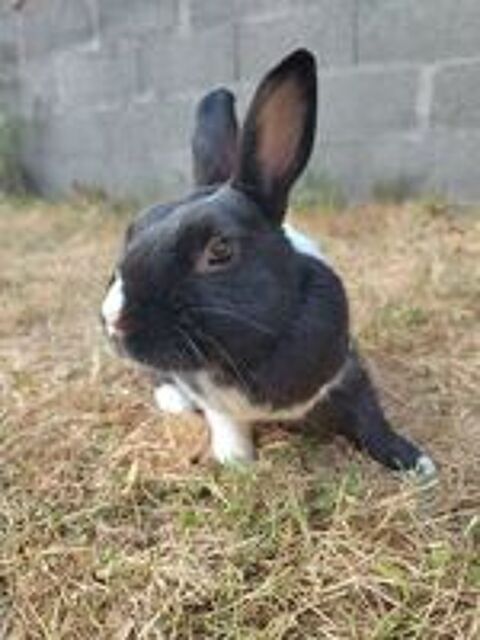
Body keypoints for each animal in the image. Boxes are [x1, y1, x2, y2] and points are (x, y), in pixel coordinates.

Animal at [101, 49, 436, 479]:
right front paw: (237, 465)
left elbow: (371, 421)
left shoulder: (349, 372)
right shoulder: (216, 403)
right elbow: (227, 425)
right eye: (133, 231)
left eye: (220, 250)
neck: (254, 350)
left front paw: (416, 463)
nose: (112, 320)